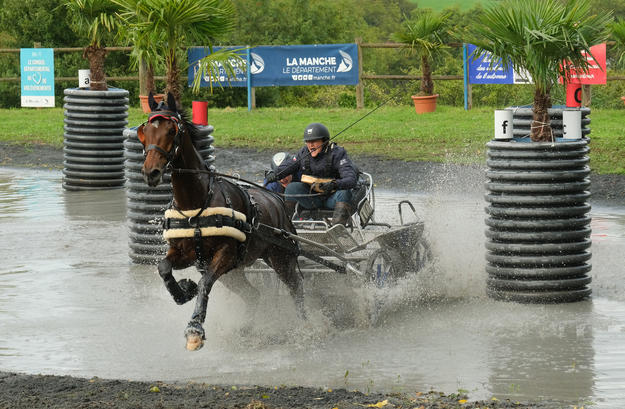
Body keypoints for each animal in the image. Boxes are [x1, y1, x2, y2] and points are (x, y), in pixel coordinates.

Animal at [136, 93, 304, 350]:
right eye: (144, 131)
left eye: (172, 130)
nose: (151, 172)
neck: (196, 204)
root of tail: (277, 201)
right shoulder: (186, 253)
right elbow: (164, 268)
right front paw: (184, 290)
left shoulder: (224, 254)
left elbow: (205, 283)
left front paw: (195, 328)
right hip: (235, 274)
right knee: (253, 294)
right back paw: (246, 328)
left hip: (280, 258)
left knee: (296, 288)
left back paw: (308, 326)